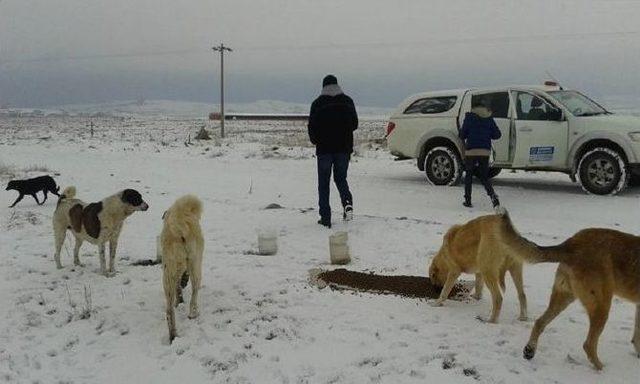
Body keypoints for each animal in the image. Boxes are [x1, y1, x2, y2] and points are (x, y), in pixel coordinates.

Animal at [160, 195, 202, 342]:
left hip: (168, 273)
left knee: (169, 311)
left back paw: (173, 335)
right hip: (195, 265)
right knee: (194, 292)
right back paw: (193, 313)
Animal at [500, 208, 640, 370]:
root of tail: (572, 243)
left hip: (564, 297)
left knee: (540, 322)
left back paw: (530, 350)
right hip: (601, 306)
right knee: (588, 345)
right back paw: (601, 369)